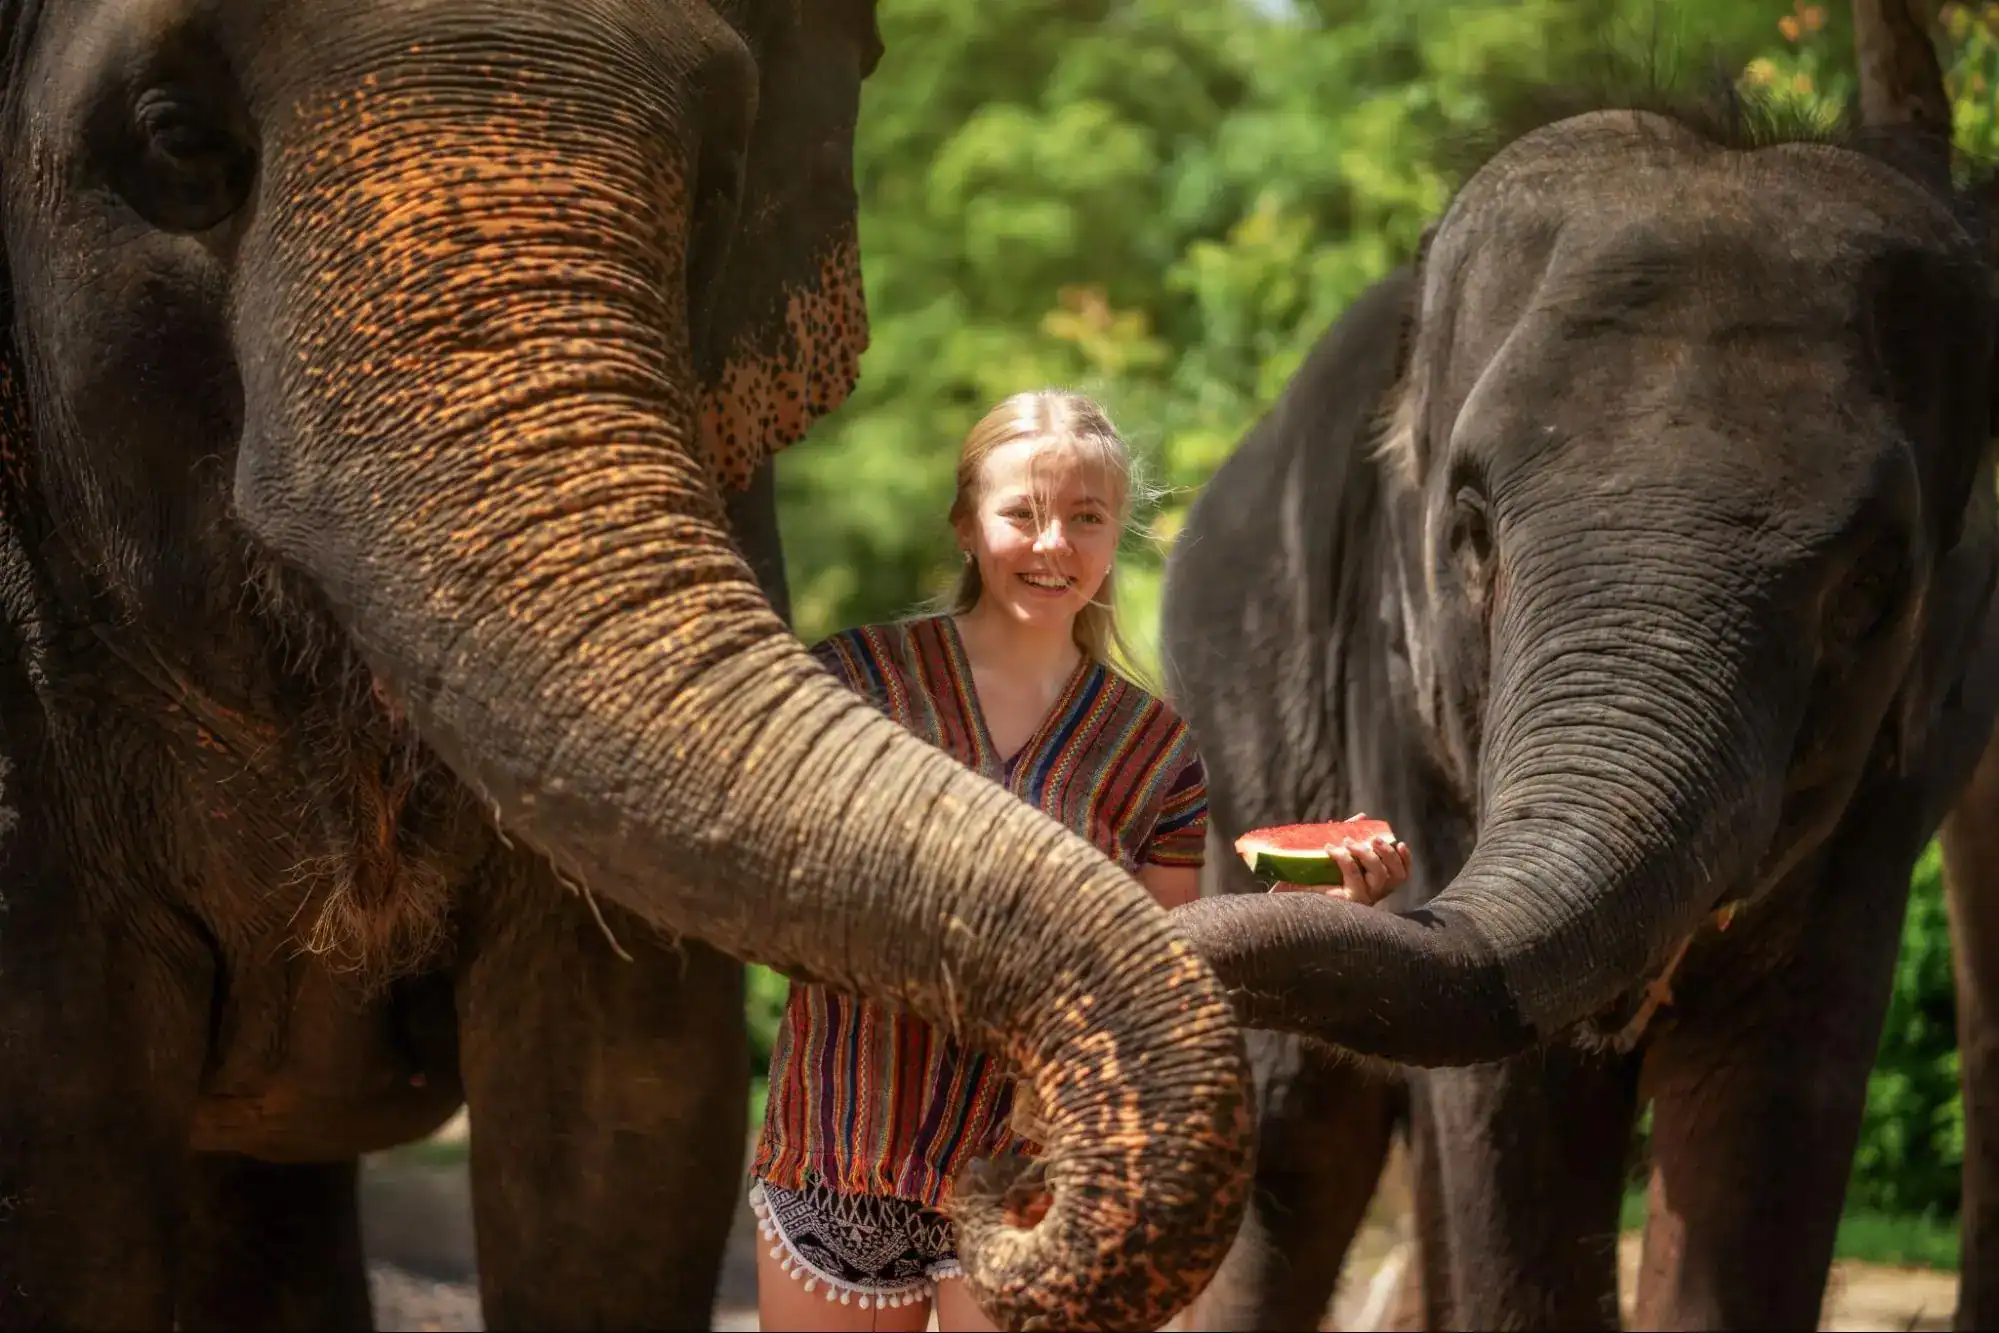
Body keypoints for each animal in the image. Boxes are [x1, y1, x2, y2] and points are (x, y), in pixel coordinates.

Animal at [1159, 55, 1999, 1333]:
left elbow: (1771, 1114)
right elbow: (1511, 1113)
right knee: (1299, 1149)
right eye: (1467, 532)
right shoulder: (1400, 698)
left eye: (1870, 588)